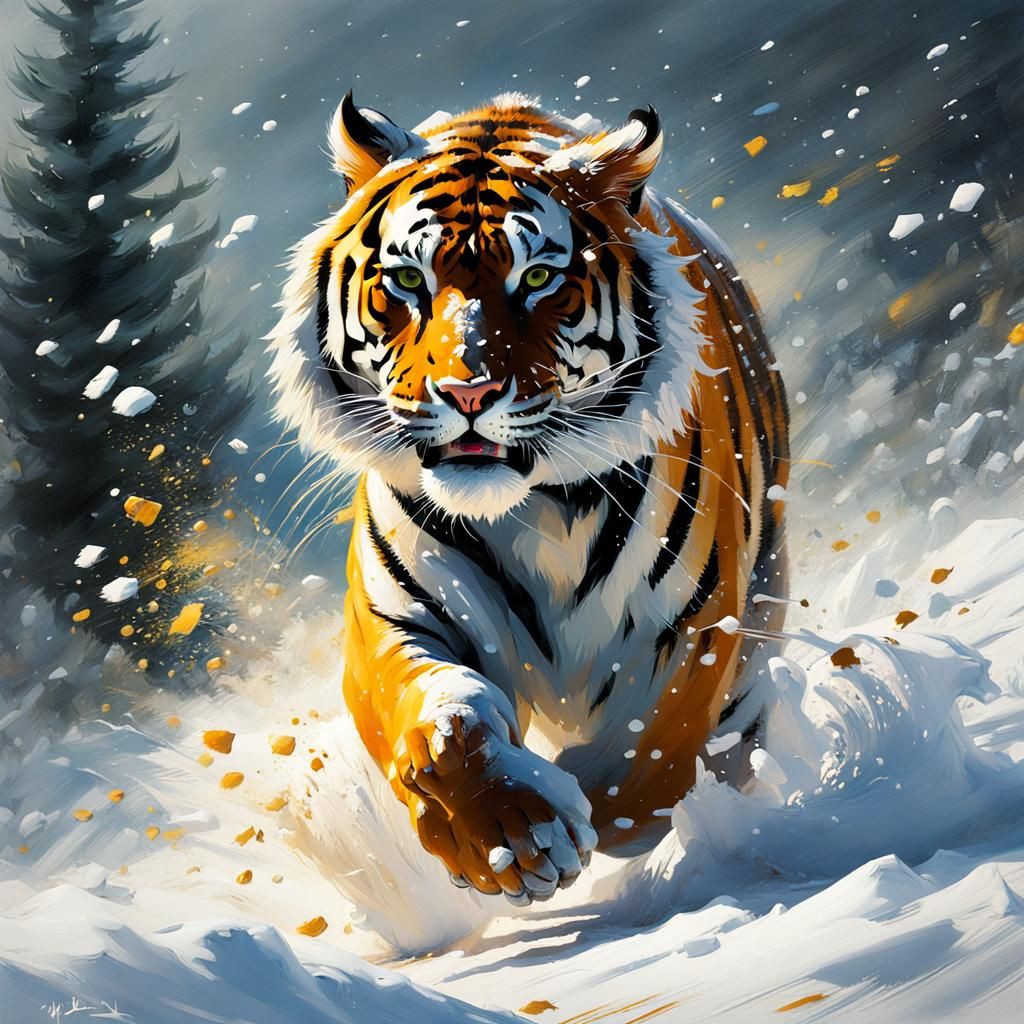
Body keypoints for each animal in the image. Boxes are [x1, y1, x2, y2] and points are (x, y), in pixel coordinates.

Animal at [268, 91, 789, 906]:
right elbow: (443, 728)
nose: (467, 392)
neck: (536, 511)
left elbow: (640, 778)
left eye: (539, 277)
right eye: (408, 283)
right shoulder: (392, 622)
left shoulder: (694, 634)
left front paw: (564, 828)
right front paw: (507, 835)